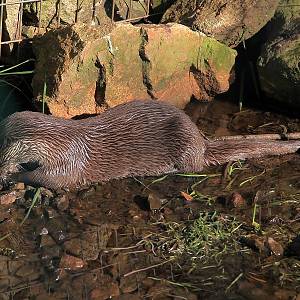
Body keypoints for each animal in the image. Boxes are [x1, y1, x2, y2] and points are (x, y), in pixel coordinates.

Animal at [0, 101, 298, 190]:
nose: (2, 170)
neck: (60, 143)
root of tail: (201, 142)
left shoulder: (69, 164)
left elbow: (47, 179)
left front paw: (14, 176)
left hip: (183, 145)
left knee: (192, 167)